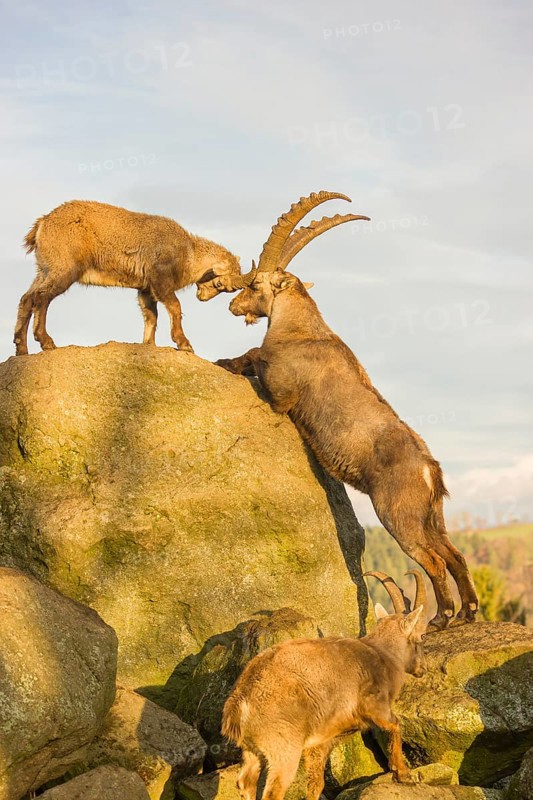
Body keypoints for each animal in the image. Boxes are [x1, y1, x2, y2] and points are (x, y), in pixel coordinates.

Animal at [15, 199, 246, 355]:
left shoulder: (145, 288)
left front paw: (148, 344)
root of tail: (43, 224)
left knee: (27, 298)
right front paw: (184, 343)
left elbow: (151, 315)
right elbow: (174, 306)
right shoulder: (160, 278)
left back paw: (21, 348)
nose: (203, 297)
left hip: (45, 269)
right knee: (42, 297)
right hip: (64, 268)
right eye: (219, 283)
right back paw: (46, 341)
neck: (189, 253)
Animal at [216, 257, 479, 630]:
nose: (233, 305)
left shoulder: (282, 393)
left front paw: (225, 362)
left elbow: (254, 355)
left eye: (254, 284)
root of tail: (429, 468)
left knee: (433, 560)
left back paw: (441, 618)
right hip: (431, 517)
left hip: (398, 515)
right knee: (454, 555)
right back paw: (467, 612)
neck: (300, 332)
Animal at [222, 572, 427, 800]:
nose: (423, 668)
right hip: (283, 750)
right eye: (421, 636)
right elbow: (395, 724)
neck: (384, 655)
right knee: (273, 791)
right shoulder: (374, 705)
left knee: (245, 782)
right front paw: (403, 774)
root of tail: (240, 704)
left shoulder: (319, 743)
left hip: (252, 751)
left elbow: (316, 784)